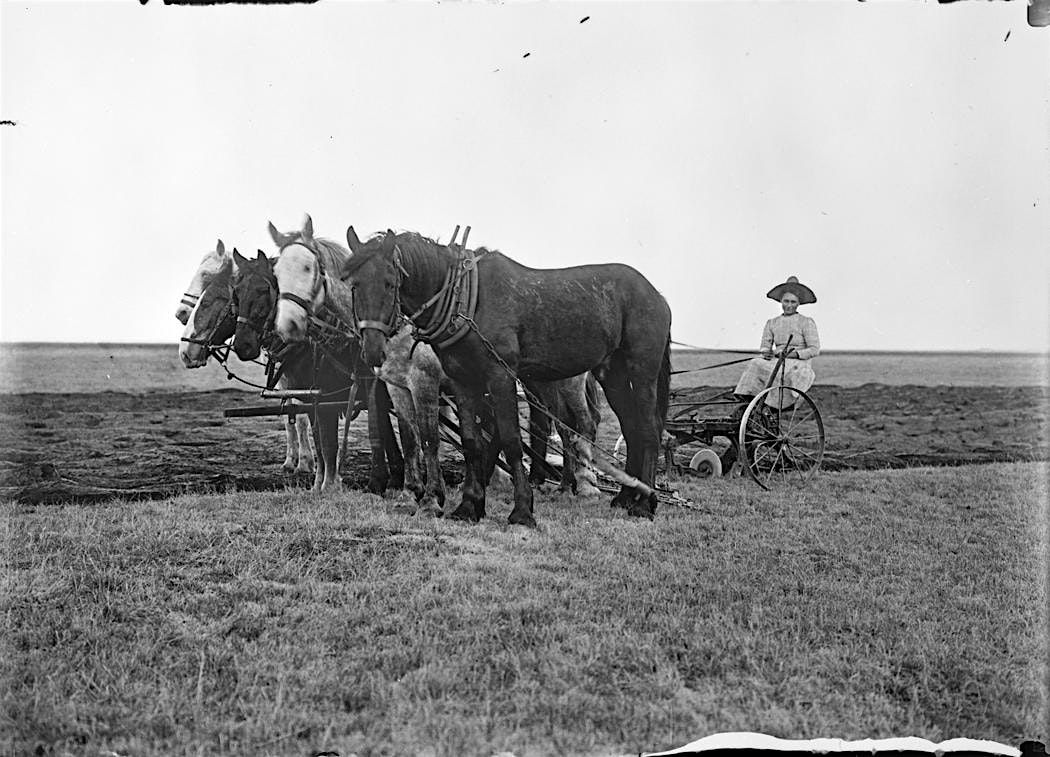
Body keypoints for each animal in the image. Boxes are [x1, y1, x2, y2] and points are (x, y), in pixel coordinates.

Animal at [176, 239, 312, 472]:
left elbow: (304, 415)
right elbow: (290, 417)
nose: (181, 313)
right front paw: (290, 461)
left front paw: (304, 463)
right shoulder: (284, 380)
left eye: (205, 275)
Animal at [266, 215, 447, 510]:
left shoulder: (419, 384)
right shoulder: (335, 394)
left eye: (308, 268)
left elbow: (420, 437)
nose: (287, 325)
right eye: (277, 274)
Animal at [342, 229, 672, 524]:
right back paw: (625, 497)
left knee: (645, 430)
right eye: (354, 285)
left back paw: (643, 504)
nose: (373, 350)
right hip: (610, 373)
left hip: (638, 371)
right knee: (628, 428)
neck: (466, 299)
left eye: (389, 284)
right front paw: (469, 506)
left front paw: (522, 510)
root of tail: (657, 295)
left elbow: (509, 440)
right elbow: (469, 441)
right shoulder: (462, 381)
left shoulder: (496, 377)